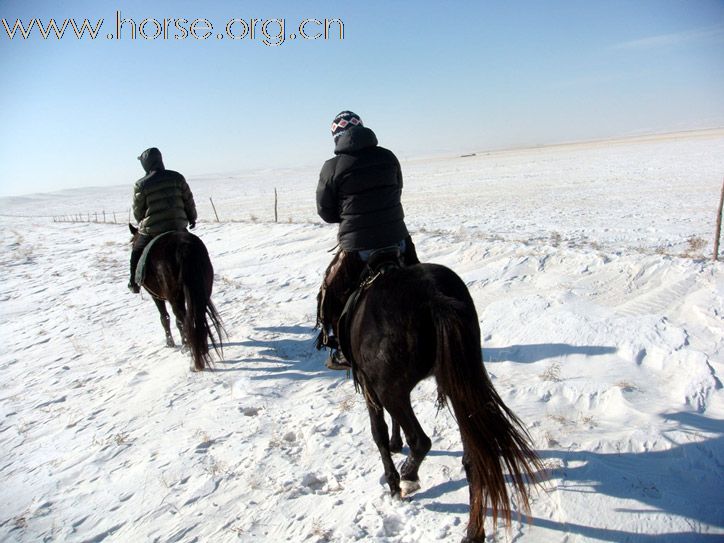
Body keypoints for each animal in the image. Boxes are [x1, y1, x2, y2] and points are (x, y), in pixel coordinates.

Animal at [128, 223, 223, 372]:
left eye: (132, 243)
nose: (131, 285)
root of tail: (184, 247)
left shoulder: (156, 296)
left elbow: (164, 318)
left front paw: (170, 343)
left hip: (175, 297)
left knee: (183, 320)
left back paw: (193, 356)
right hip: (203, 291)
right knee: (197, 318)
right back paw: (202, 349)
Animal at [344, 262, 544, 540]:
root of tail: (434, 296)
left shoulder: (369, 385)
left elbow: (379, 433)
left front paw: (393, 484)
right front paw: (396, 445)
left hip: (390, 389)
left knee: (421, 441)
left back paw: (408, 477)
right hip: (457, 385)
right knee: (473, 458)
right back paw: (473, 532)